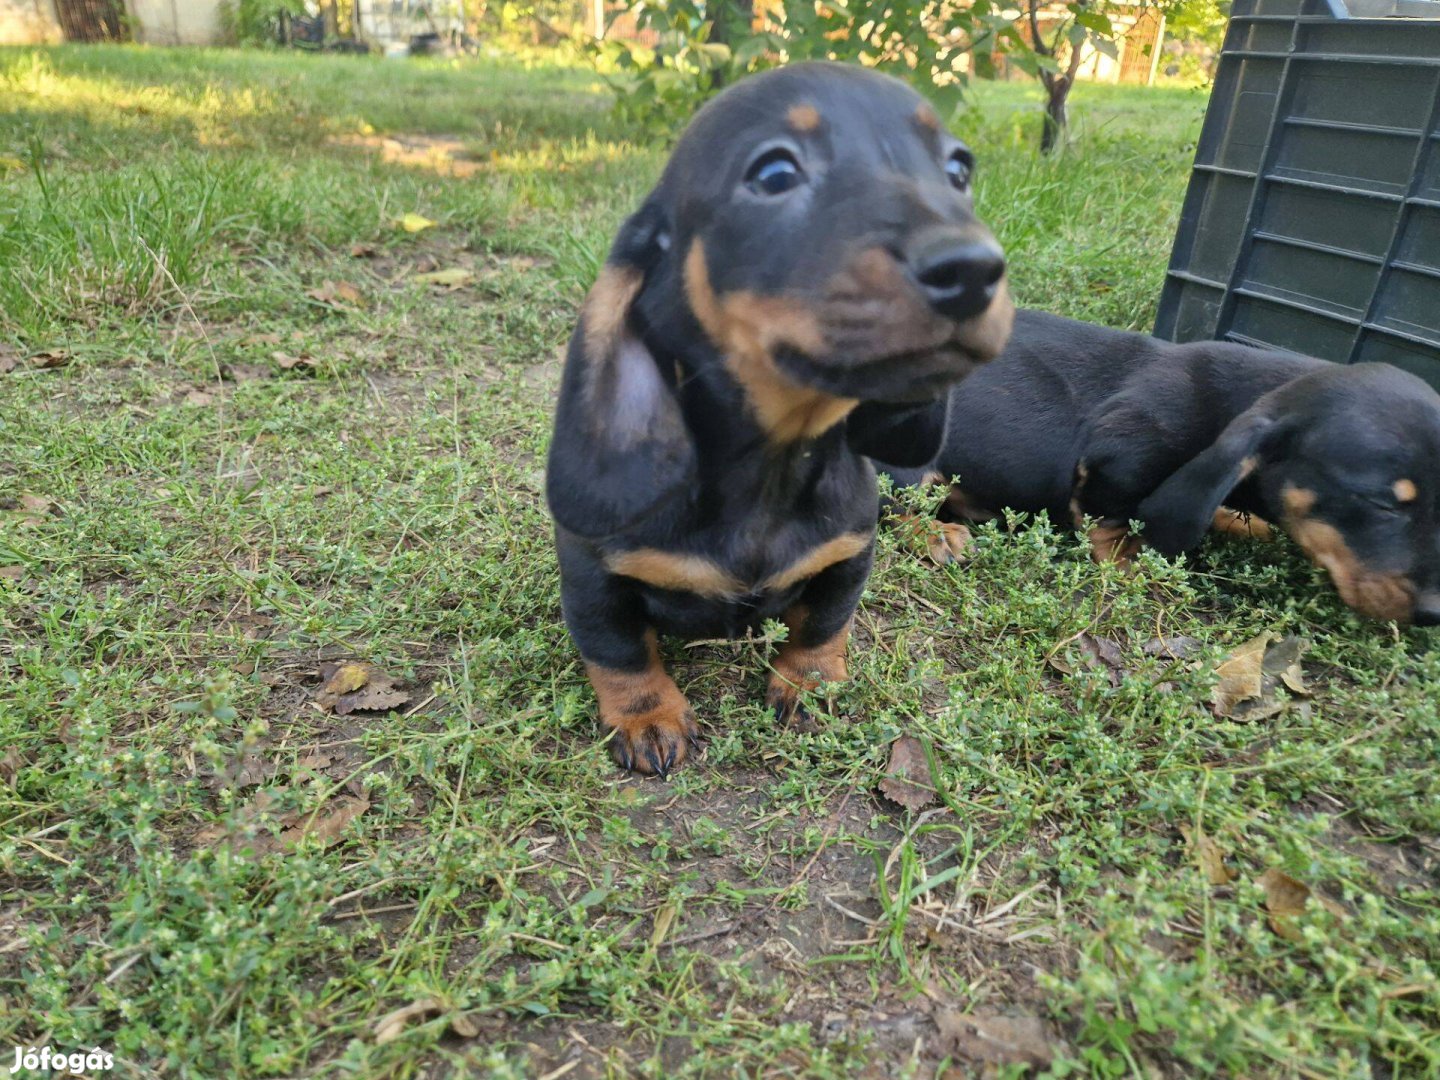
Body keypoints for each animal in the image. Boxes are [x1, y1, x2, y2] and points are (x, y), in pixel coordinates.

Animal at [547, 63, 1013, 771]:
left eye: (959, 169)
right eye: (773, 174)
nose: (974, 269)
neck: (772, 462)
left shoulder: (849, 554)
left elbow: (825, 623)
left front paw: (810, 684)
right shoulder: (591, 573)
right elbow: (619, 651)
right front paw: (648, 716)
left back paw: (934, 533)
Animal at [875, 308, 1440, 624]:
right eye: (1380, 503)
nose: (1433, 614)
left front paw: (1239, 523)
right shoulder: (1121, 451)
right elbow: (1110, 513)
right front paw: (1134, 559)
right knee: (894, 503)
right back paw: (937, 532)